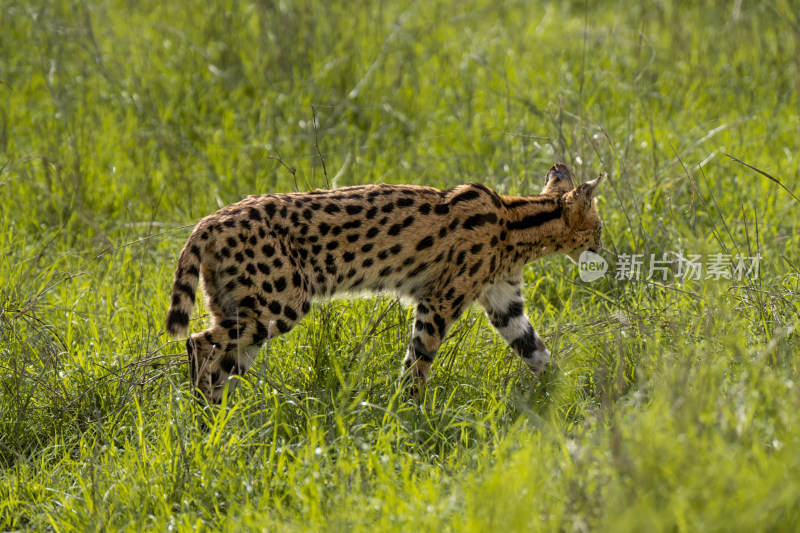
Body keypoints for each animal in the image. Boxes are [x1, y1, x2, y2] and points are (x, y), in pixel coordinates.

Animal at [170, 163, 608, 404]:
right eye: (600, 227)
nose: (605, 248)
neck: (515, 223)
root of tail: (208, 221)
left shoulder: (505, 305)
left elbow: (539, 354)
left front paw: (575, 401)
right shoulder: (439, 301)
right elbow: (419, 362)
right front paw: (411, 414)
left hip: (239, 309)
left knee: (220, 361)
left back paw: (219, 423)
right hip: (277, 307)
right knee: (197, 345)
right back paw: (204, 419)